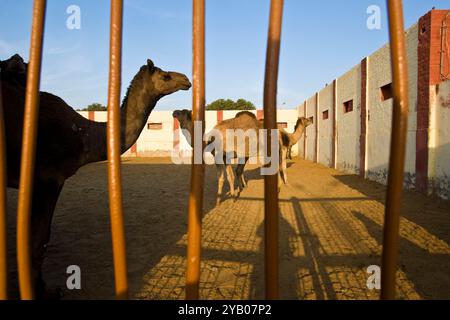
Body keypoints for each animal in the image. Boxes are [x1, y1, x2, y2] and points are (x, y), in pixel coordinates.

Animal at [0, 53, 191, 298]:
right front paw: (45, 291)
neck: (83, 135)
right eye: (165, 75)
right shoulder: (49, 179)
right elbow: (39, 239)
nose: (186, 79)